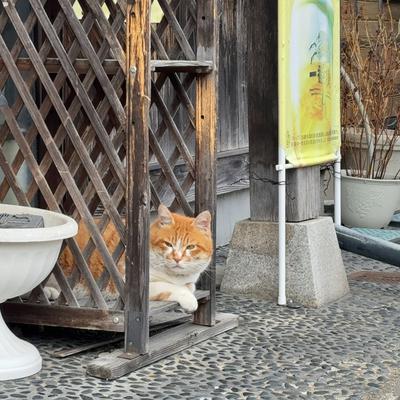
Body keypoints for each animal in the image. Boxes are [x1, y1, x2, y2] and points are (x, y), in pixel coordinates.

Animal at [45, 204, 213, 312]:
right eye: (168, 244)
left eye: (190, 247)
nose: (177, 258)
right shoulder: (134, 284)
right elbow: (171, 287)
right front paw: (190, 300)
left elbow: (190, 286)